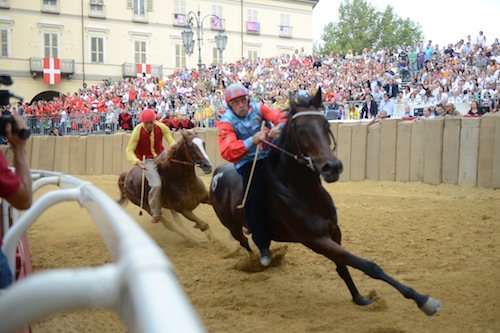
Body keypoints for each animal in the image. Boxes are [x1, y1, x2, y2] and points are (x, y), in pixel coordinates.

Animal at [208, 89, 442, 316]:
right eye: (300, 130)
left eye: (325, 125)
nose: (332, 167)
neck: (303, 192)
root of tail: (217, 173)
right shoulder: (316, 240)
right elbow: (368, 266)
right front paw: (423, 300)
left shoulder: (334, 233)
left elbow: (343, 266)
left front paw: (359, 298)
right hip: (232, 227)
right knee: (245, 243)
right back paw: (258, 260)